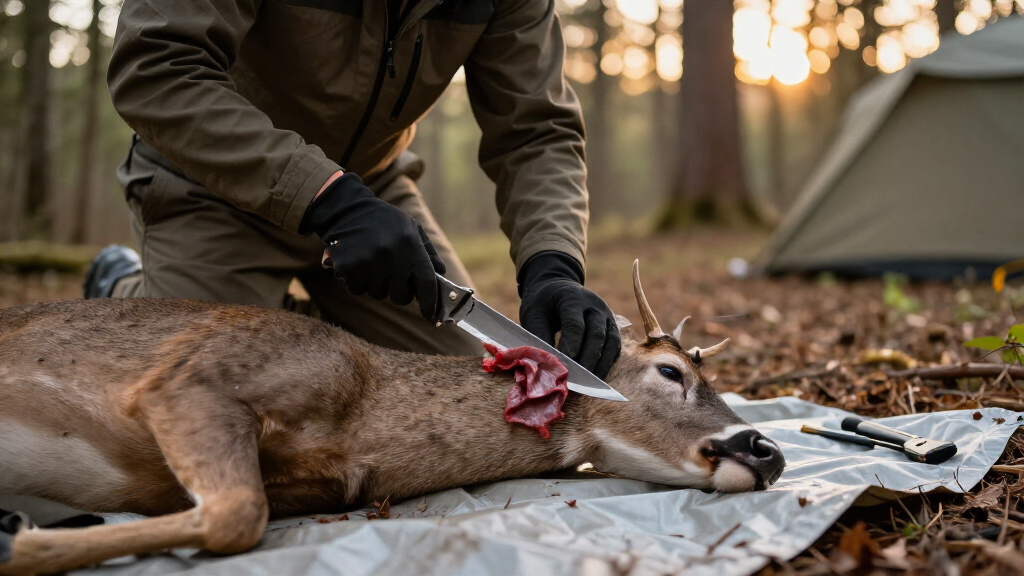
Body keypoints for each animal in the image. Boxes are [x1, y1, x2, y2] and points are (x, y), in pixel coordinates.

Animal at [0, 261, 784, 575]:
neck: (364, 409)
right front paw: (21, 543)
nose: (768, 449)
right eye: (672, 373)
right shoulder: (192, 379)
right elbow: (236, 515)